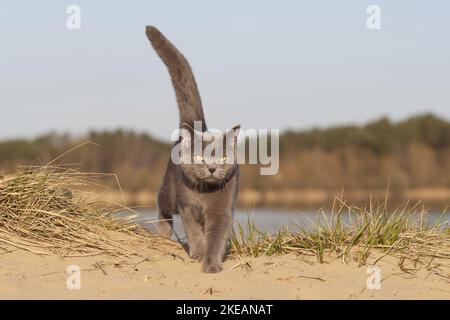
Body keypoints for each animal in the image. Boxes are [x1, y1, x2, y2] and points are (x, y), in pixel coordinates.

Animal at [146, 26, 241, 274]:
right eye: (199, 156)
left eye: (224, 157)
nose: (212, 168)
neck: (204, 195)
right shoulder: (186, 206)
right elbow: (194, 231)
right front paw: (198, 253)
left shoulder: (222, 210)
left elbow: (217, 236)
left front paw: (212, 264)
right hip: (170, 191)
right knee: (162, 206)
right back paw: (163, 233)